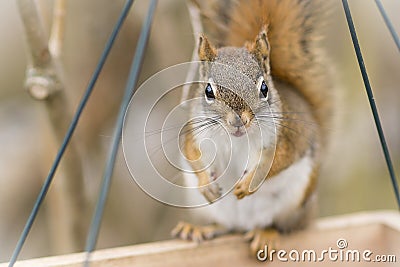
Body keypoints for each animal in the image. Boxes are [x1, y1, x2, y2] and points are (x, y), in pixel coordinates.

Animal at [172, 0, 334, 255]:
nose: (239, 120)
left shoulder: (286, 137)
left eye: (264, 88)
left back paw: (265, 234)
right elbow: (191, 152)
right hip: (210, 210)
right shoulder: (195, 131)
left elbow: (281, 158)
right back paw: (199, 229)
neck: (237, 139)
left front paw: (247, 184)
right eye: (208, 91)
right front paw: (206, 184)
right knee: (224, 226)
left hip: (294, 203)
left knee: (278, 225)